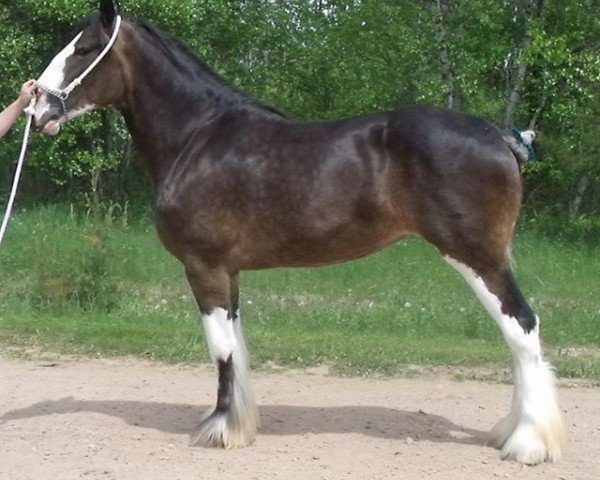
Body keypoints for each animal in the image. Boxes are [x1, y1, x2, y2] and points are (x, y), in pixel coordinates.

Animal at [31, 0, 568, 464]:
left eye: (83, 49)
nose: (39, 111)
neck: (197, 136)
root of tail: (499, 137)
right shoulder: (229, 270)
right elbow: (237, 345)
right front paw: (240, 423)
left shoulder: (203, 266)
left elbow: (220, 348)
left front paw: (219, 430)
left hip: (477, 256)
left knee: (522, 328)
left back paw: (527, 443)